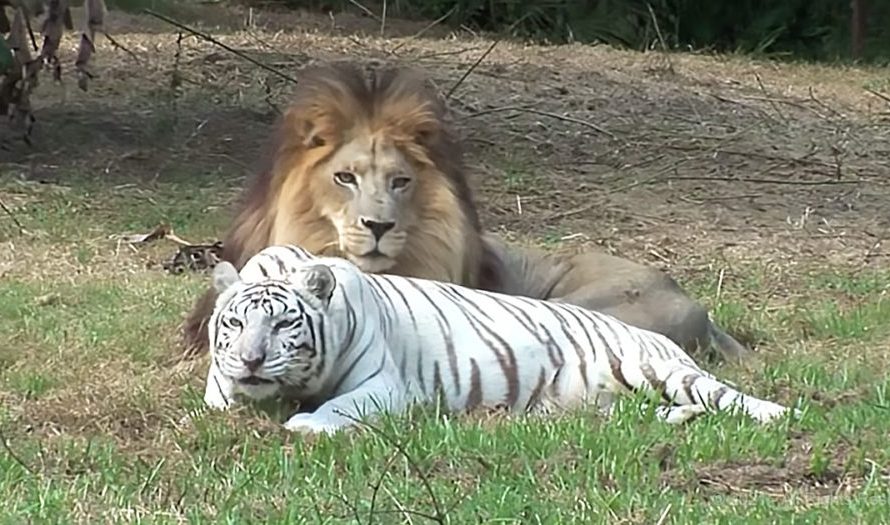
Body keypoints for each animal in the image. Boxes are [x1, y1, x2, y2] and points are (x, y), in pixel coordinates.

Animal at [205, 244, 800, 432]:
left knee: (727, 396)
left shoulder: (385, 385)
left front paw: (307, 424)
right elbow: (220, 398)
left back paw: (782, 414)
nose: (252, 360)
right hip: (594, 406)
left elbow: (339, 409)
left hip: (656, 366)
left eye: (283, 323)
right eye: (234, 325)